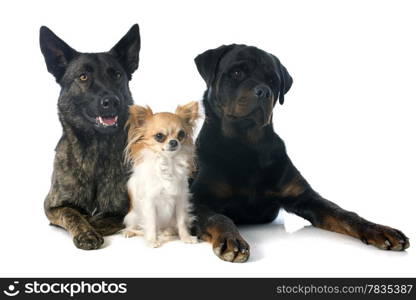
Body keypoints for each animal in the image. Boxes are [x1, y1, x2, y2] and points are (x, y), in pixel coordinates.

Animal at [40, 24, 141, 250]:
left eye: (117, 75)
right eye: (83, 77)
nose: (111, 101)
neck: (96, 151)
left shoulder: (123, 210)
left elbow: (104, 219)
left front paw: (92, 226)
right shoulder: (52, 206)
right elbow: (71, 213)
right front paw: (86, 232)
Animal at [191, 44, 410, 262]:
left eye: (272, 80)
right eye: (237, 72)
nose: (264, 91)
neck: (246, 146)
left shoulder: (305, 197)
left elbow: (343, 213)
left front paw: (379, 229)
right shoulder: (197, 201)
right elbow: (218, 217)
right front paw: (230, 239)